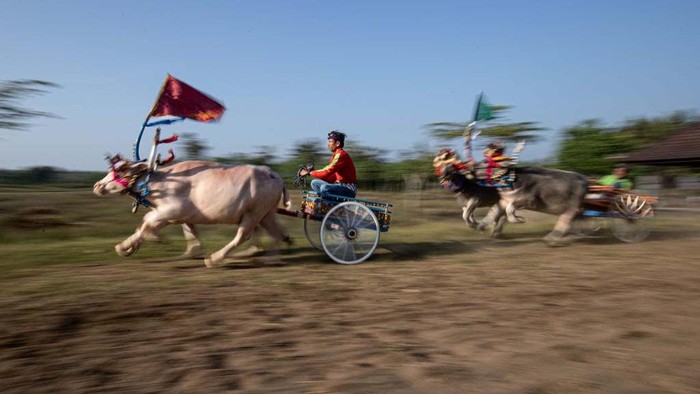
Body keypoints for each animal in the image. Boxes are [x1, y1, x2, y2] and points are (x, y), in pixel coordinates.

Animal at [93, 159, 290, 268]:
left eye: (119, 170)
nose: (97, 185)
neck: (157, 184)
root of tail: (276, 176)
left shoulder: (172, 209)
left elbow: (146, 222)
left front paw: (131, 245)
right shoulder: (178, 216)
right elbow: (188, 233)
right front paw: (128, 247)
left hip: (253, 214)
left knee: (243, 236)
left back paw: (214, 259)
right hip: (265, 214)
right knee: (275, 233)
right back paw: (270, 259)